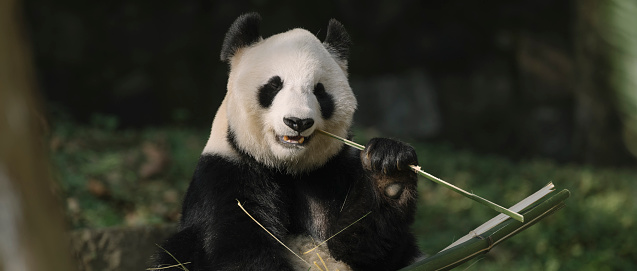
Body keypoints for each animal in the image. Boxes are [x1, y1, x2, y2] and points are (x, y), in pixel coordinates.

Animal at [153, 13, 422, 271]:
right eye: (274, 85)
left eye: (319, 91)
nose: (297, 121)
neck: (288, 168)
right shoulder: (226, 173)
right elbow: (238, 248)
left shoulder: (334, 170)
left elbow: (365, 248)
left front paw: (389, 172)